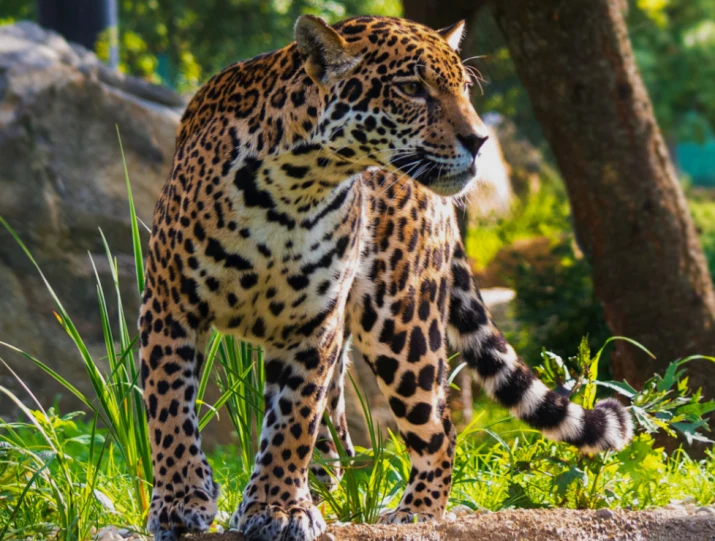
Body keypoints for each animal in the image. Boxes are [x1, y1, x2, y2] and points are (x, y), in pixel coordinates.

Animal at [138, 14, 633, 541]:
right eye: (413, 88)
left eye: (463, 88)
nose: (480, 142)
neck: (295, 191)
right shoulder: (168, 305)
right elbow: (169, 408)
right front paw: (182, 500)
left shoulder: (312, 328)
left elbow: (293, 420)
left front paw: (277, 507)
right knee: (337, 442)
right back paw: (325, 498)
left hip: (402, 327)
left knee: (438, 430)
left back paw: (415, 512)